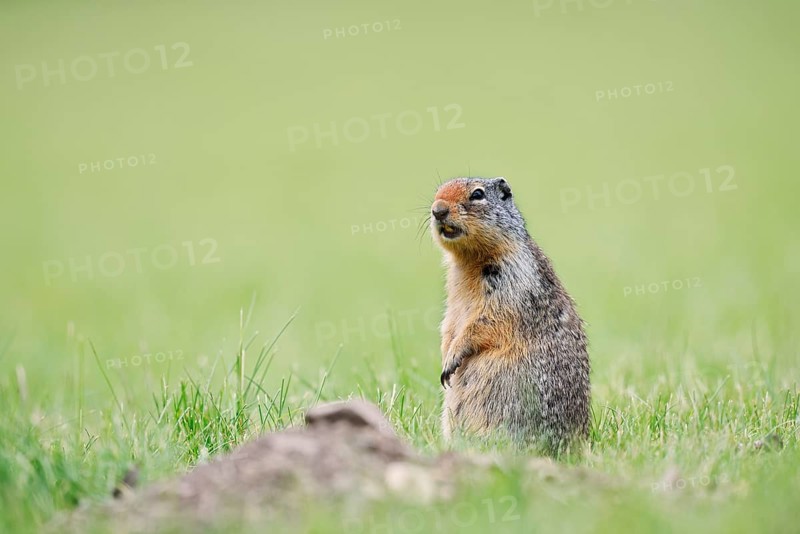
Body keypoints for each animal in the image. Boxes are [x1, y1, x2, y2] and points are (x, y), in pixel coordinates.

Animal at [429, 177, 590, 452]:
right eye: (438, 191)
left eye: (478, 194)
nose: (437, 210)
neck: (469, 260)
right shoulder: (454, 296)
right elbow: (449, 323)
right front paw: (445, 354)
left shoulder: (511, 279)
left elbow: (487, 319)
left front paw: (453, 356)